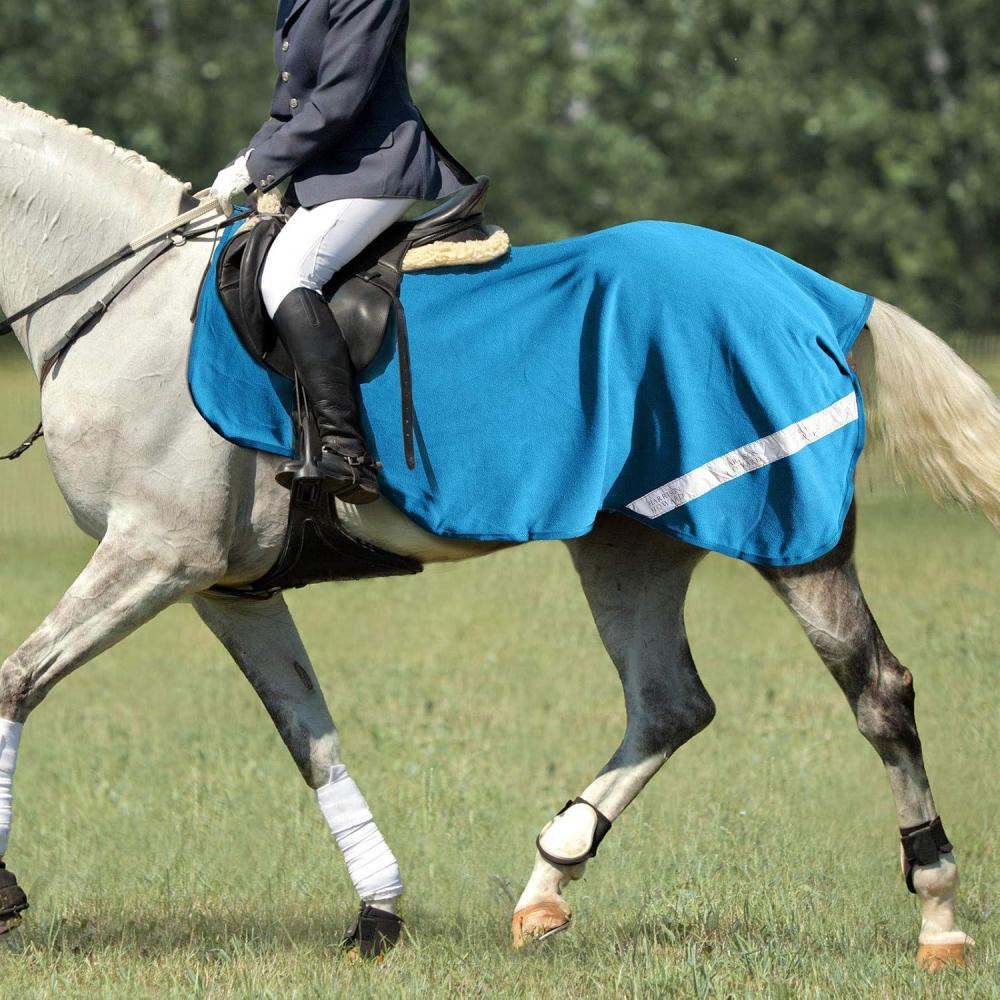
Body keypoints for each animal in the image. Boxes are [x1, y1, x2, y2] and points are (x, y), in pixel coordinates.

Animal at [0, 97, 996, 968]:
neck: (120, 306)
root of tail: (803, 287)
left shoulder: (157, 556)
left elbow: (15, 682)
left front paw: (5, 893)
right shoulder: (226, 588)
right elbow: (312, 742)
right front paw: (378, 915)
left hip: (792, 533)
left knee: (876, 692)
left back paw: (938, 918)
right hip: (631, 542)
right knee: (668, 704)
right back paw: (546, 886)